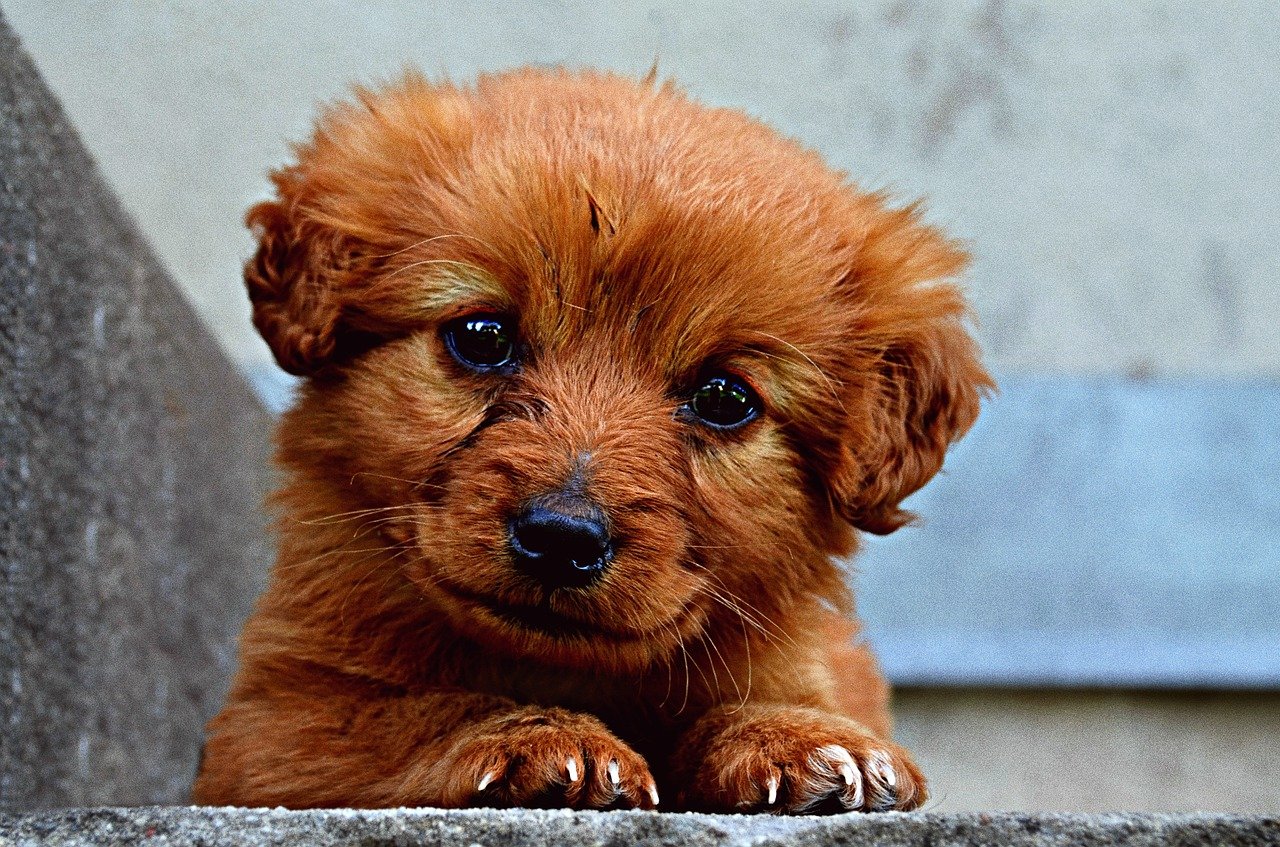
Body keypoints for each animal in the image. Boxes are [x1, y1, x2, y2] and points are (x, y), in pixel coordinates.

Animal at [192, 68, 988, 818]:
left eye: (725, 399)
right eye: (483, 337)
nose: (561, 537)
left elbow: (771, 700)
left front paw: (801, 737)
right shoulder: (270, 728)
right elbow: (416, 711)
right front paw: (539, 738)